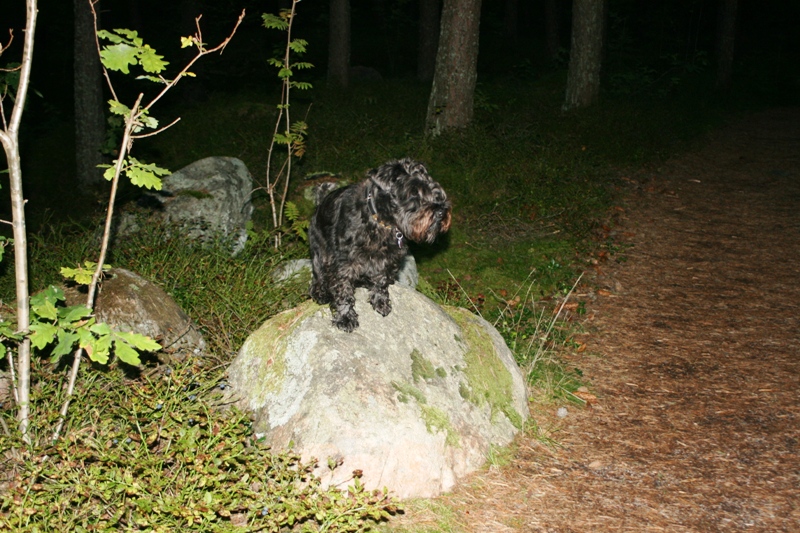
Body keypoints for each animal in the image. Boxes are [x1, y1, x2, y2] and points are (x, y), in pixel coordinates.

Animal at [309, 158, 451, 332]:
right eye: (413, 192)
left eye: (433, 187)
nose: (441, 212)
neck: (381, 222)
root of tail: (319, 203)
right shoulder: (344, 264)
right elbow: (343, 290)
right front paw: (345, 317)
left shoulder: (388, 260)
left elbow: (381, 282)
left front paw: (380, 302)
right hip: (320, 254)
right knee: (318, 277)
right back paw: (320, 293)